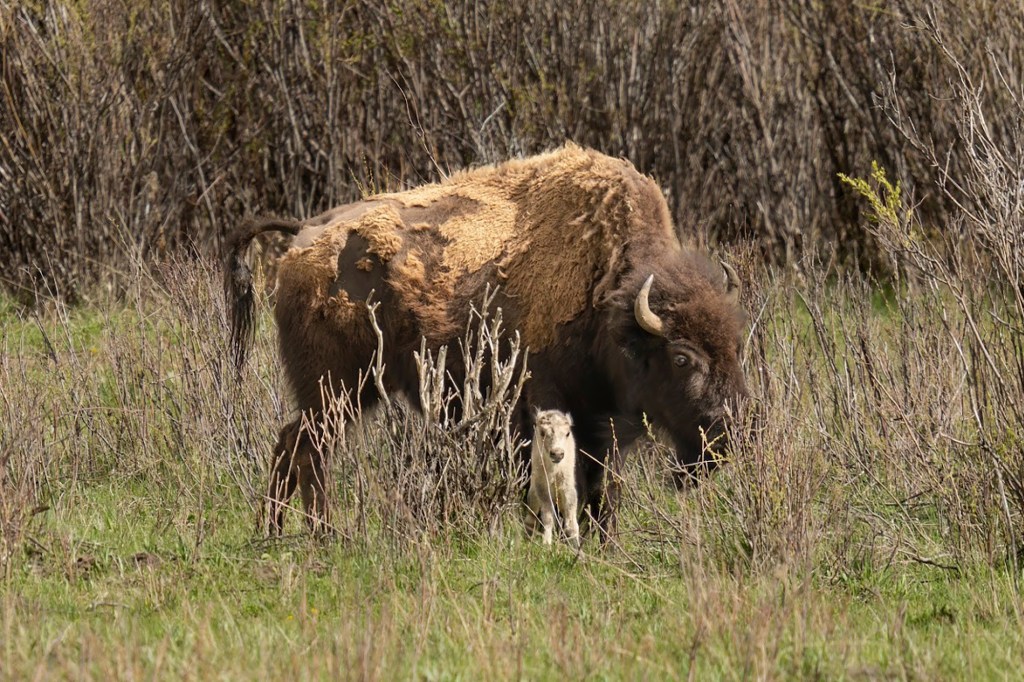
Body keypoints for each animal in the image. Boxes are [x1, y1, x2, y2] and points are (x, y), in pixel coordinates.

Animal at [528, 405, 577, 544]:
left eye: (567, 433)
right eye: (542, 433)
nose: (557, 453)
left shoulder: (567, 486)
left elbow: (571, 518)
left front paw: (576, 544)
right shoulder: (542, 486)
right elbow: (548, 516)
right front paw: (546, 543)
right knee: (532, 514)